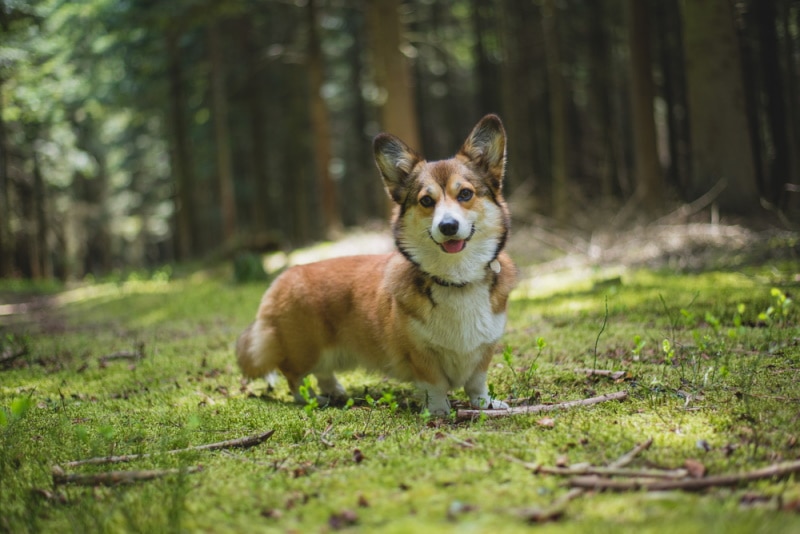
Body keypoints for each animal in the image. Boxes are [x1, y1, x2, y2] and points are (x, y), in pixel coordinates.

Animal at [234, 115, 516, 416]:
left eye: (465, 194)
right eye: (426, 200)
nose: (448, 226)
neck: (456, 279)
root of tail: (281, 279)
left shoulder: (484, 350)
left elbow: (477, 383)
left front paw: (485, 405)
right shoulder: (421, 355)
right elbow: (435, 386)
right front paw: (439, 412)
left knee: (322, 373)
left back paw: (334, 392)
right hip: (304, 350)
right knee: (293, 376)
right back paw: (311, 399)